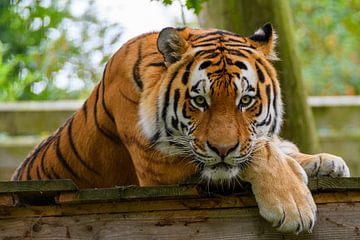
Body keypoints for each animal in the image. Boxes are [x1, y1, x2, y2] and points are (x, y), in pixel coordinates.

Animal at [11, 23, 348, 233]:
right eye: (199, 101)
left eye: (246, 100)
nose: (222, 149)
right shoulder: (158, 166)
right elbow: (260, 151)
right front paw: (294, 205)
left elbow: (267, 144)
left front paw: (324, 162)